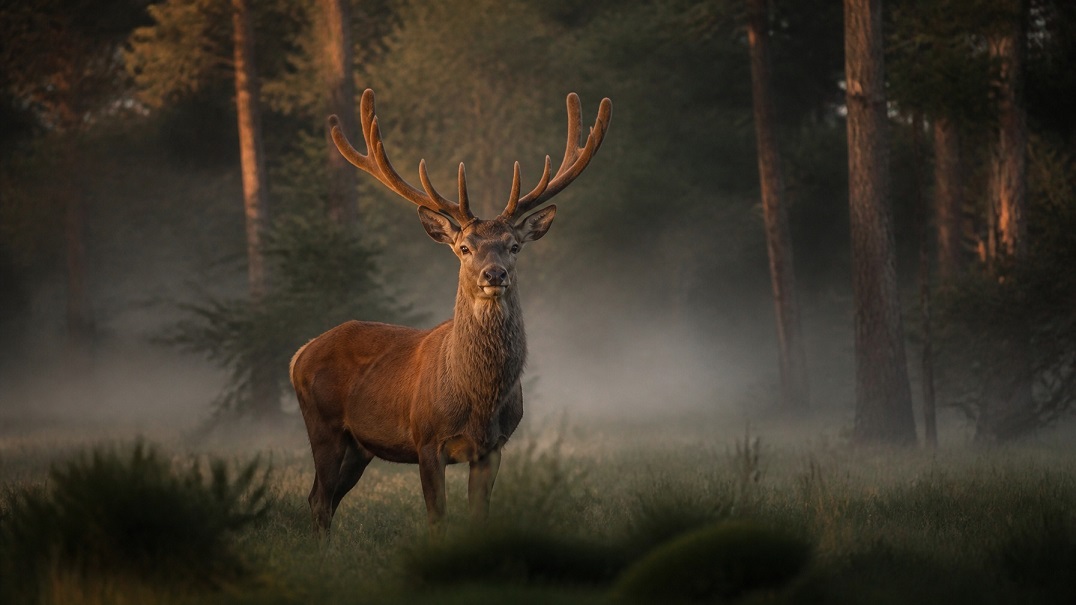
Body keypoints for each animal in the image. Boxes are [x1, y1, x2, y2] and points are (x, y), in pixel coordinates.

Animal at [289, 89, 611, 536]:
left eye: (514, 246)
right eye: (464, 248)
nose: (494, 274)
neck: (478, 399)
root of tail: (300, 353)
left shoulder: (494, 447)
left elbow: (479, 516)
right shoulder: (426, 440)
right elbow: (437, 517)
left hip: (358, 446)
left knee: (325, 497)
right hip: (323, 425)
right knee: (319, 498)